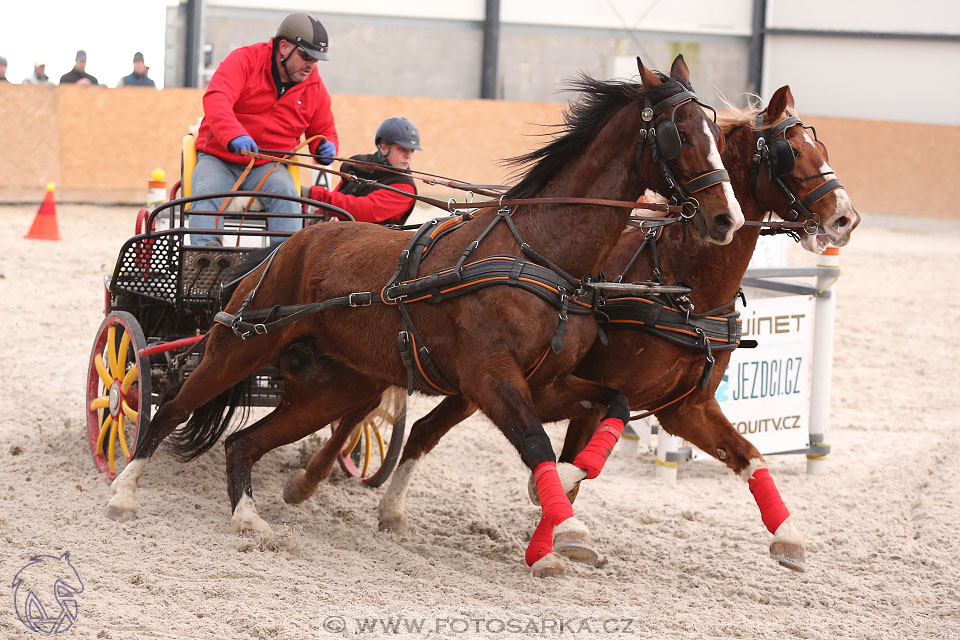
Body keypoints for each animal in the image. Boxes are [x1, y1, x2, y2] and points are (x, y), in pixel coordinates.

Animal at [107, 53, 744, 576]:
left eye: (718, 133)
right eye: (679, 134)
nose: (727, 219)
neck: (540, 253)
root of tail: (284, 248)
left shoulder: (551, 381)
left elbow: (608, 407)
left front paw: (560, 496)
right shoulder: (491, 378)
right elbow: (535, 443)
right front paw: (570, 528)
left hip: (333, 385)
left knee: (244, 443)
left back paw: (248, 518)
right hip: (240, 344)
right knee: (172, 406)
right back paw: (123, 492)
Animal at [370, 82, 864, 572]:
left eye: (821, 148)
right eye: (790, 152)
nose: (846, 218)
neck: (682, 285)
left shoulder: (684, 408)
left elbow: (751, 456)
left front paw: (789, 537)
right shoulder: (582, 393)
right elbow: (572, 471)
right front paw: (555, 536)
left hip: (474, 384)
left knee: (423, 430)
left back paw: (392, 511)